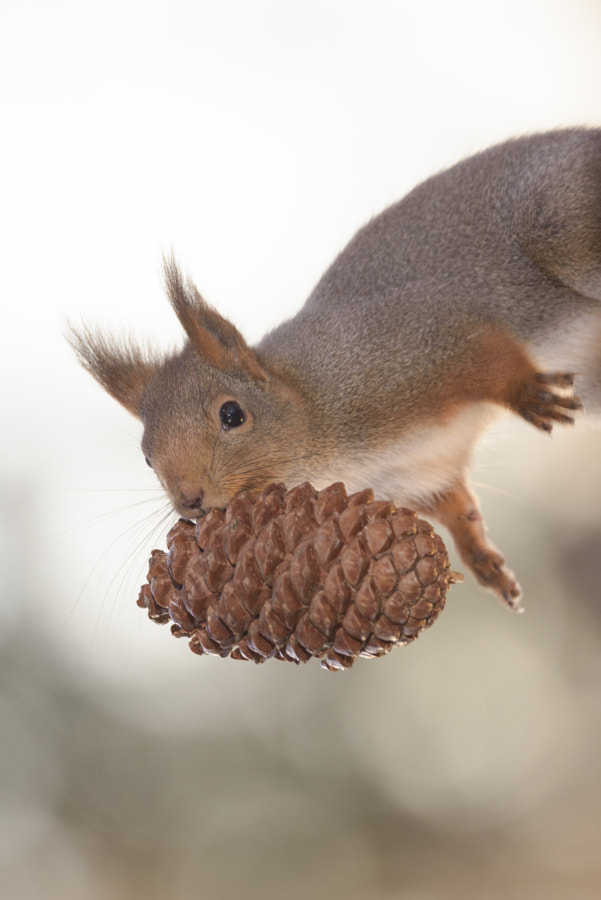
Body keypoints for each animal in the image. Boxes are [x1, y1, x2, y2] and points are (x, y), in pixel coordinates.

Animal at [68, 128, 600, 612]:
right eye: (146, 458)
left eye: (232, 415)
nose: (191, 500)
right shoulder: (421, 475)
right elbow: (459, 508)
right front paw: (485, 563)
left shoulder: (427, 341)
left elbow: (493, 358)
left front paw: (527, 394)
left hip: (562, 230)